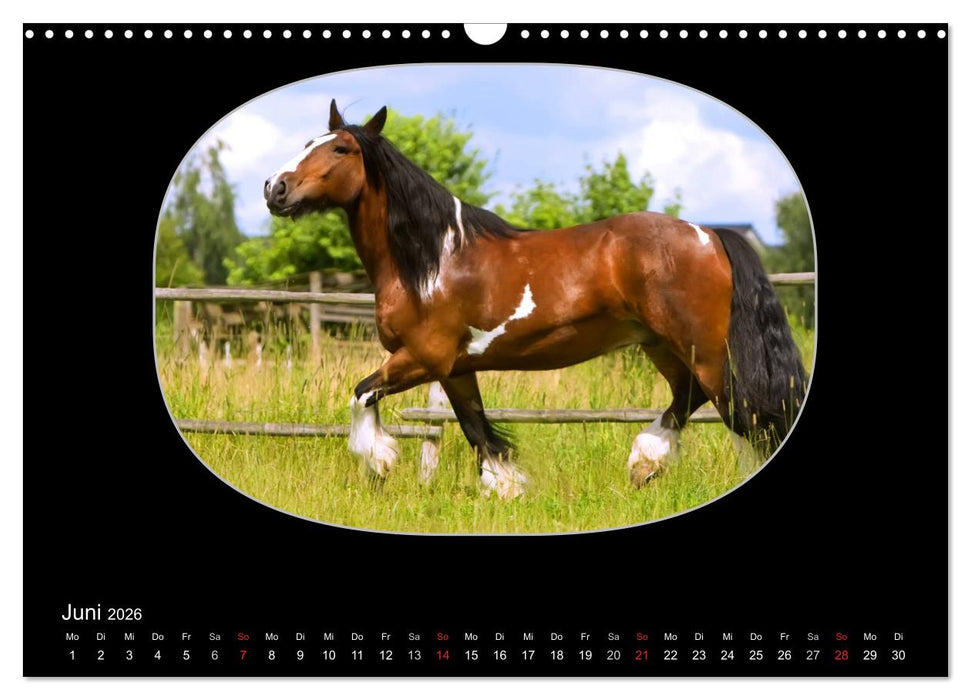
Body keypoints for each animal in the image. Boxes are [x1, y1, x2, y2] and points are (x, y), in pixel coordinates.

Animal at [264, 100, 809, 498]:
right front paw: (506, 490)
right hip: (665, 346)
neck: (433, 258)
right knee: (691, 399)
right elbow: (477, 429)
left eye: (341, 149)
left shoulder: (422, 357)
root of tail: (710, 234)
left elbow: (361, 394)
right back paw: (643, 463)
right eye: (308, 143)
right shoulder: (456, 368)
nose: (275, 187)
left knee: (745, 417)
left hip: (709, 351)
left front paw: (379, 461)